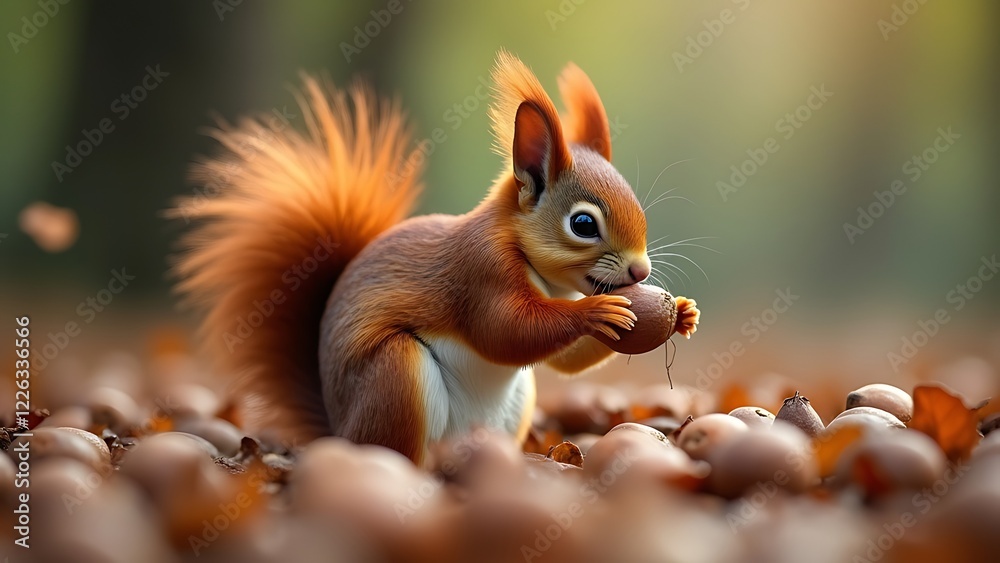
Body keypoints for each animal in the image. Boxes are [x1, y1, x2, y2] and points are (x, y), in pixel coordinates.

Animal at [174, 51, 699, 464]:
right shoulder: (479, 271)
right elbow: (506, 331)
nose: (641, 270)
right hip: (395, 378)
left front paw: (682, 313)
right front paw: (597, 312)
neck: (535, 267)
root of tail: (339, 433)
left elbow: (565, 359)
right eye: (584, 224)